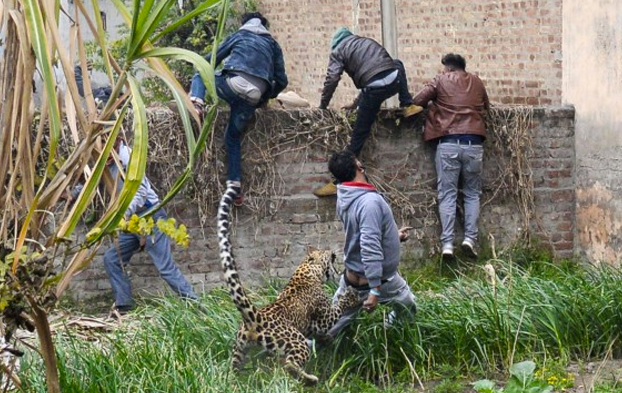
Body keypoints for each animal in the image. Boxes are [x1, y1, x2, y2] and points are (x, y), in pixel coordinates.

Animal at [217, 182, 360, 384]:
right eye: (324, 251)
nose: (332, 251)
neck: (306, 271)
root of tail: (255, 318)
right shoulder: (323, 318)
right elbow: (337, 308)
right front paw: (350, 296)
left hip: (240, 348)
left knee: (232, 368)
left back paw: (233, 381)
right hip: (296, 340)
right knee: (290, 364)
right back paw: (310, 379)